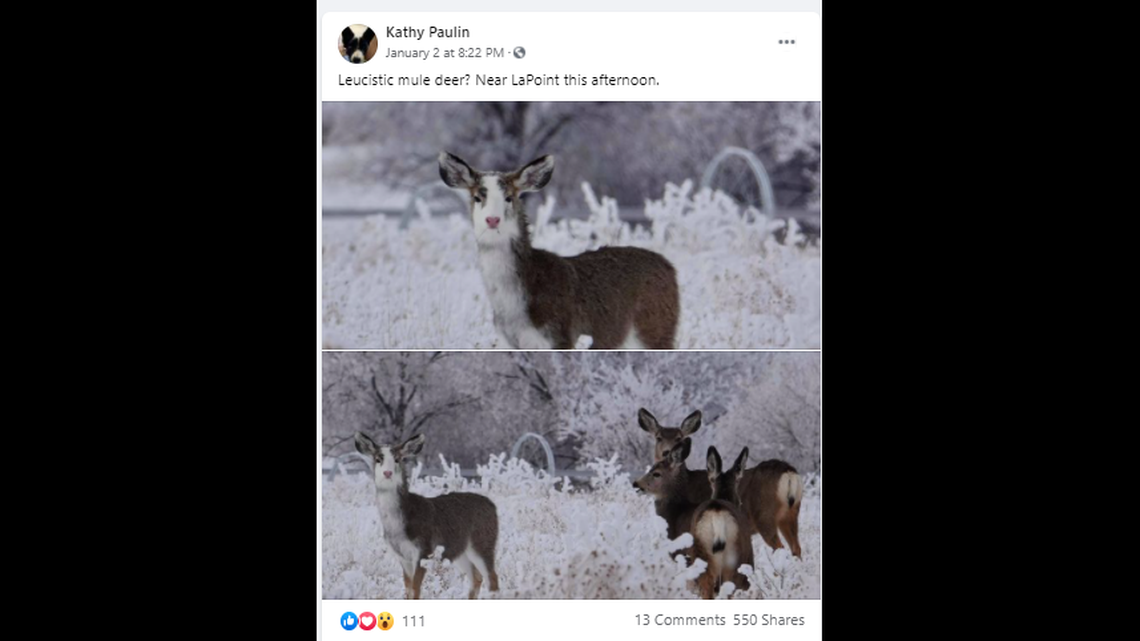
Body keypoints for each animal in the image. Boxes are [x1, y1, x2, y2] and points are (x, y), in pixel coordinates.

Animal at [354, 432, 500, 599]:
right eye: (378, 459)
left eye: (397, 459)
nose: (387, 473)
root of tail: (493, 506)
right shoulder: (402, 556)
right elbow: (408, 589)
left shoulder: (424, 549)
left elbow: (416, 590)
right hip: (460, 550)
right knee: (477, 577)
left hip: (483, 541)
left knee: (492, 578)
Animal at [438, 151, 680, 349]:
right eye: (478, 197)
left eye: (509, 197)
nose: (492, 219)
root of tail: (670, 268)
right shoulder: (509, 342)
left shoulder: (561, 334)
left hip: (656, 327)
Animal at [638, 407, 804, 557]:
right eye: (658, 437)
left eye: (679, 438)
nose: (667, 453)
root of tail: (789, 472)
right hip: (791, 513)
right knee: (796, 548)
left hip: (764, 514)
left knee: (780, 548)